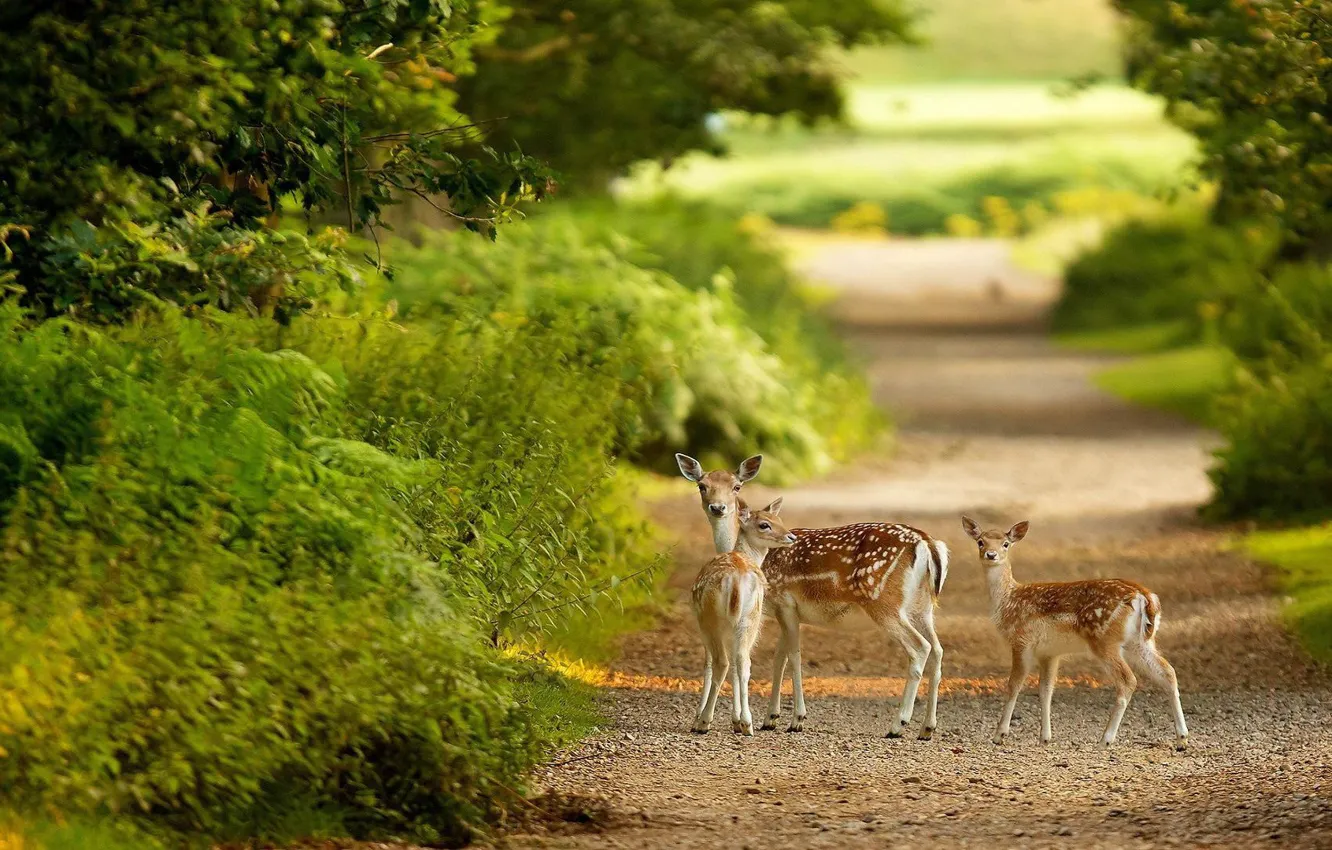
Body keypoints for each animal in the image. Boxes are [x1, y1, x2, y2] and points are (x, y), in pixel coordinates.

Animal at [692, 495, 793, 735]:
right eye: (765, 524)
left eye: (779, 519)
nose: (791, 536)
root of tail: (736, 580)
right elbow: (738, 668)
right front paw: (736, 721)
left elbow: (708, 665)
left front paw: (700, 717)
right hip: (750, 618)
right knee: (743, 662)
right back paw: (747, 723)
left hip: (712, 619)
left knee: (722, 662)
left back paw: (704, 722)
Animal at [964, 516, 1193, 751]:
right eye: (980, 542)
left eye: (1006, 544)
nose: (991, 555)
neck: (1007, 601)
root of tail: (1144, 596)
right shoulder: (1049, 652)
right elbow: (1045, 690)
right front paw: (1045, 738)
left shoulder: (1021, 640)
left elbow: (1013, 685)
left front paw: (999, 735)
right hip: (1140, 642)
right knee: (1168, 672)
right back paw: (1182, 738)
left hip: (1104, 639)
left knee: (1128, 680)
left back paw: (1105, 739)